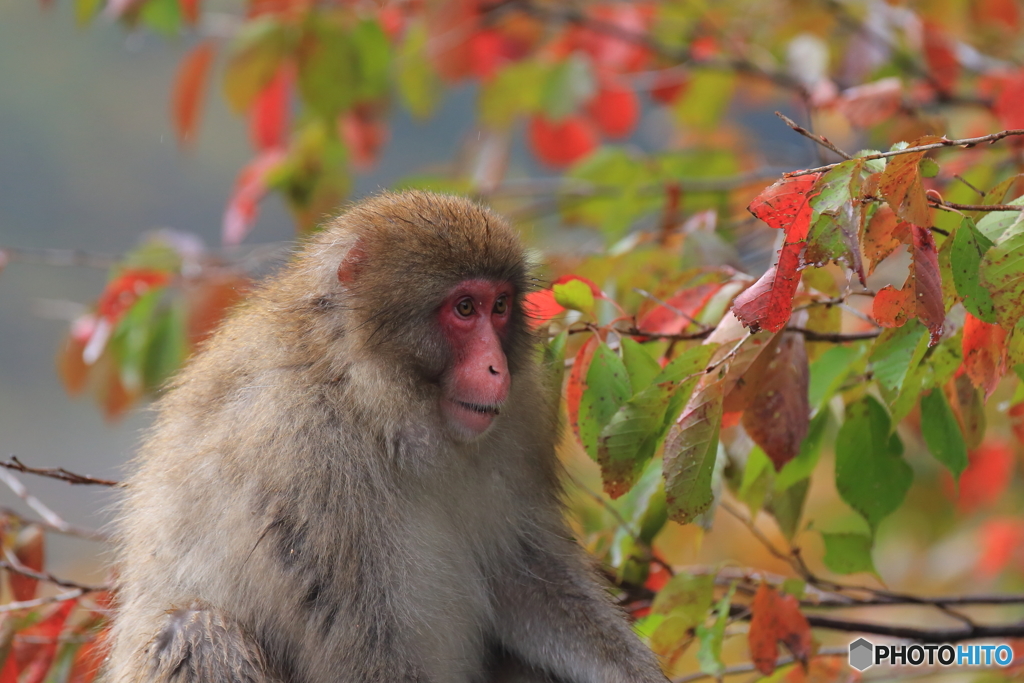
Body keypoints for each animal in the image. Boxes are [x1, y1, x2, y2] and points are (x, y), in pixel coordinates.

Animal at [108, 191, 667, 683]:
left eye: (500, 307)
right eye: (465, 308)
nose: (497, 368)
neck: (364, 395)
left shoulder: (520, 418)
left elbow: (523, 575)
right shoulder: (306, 456)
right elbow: (367, 653)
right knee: (196, 629)